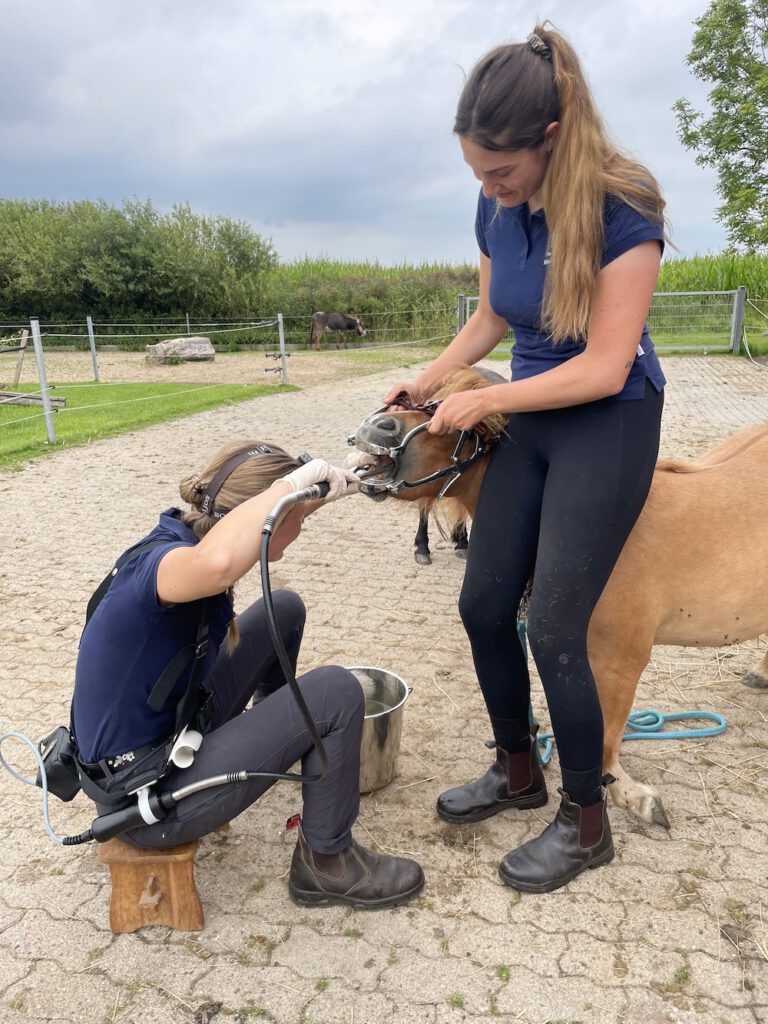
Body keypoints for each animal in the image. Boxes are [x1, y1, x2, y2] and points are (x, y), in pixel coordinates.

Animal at [350, 364, 768, 827]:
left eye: (469, 425)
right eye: (416, 397)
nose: (379, 426)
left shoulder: (620, 657)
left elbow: (605, 733)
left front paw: (629, 796)